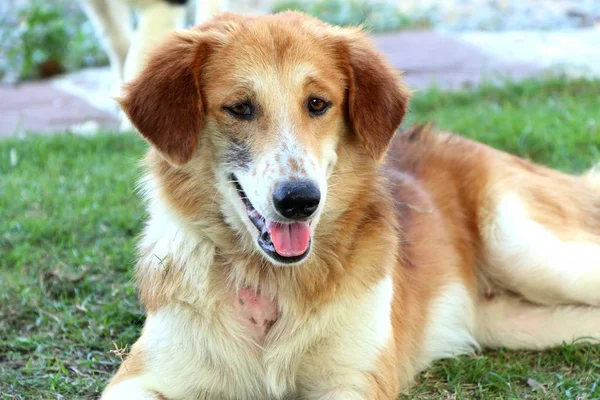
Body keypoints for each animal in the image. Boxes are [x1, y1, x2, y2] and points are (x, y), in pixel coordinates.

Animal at [98, 10, 600, 398]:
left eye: (318, 104)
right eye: (240, 107)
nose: (299, 201)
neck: (273, 285)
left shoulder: (354, 379)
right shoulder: (141, 376)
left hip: (531, 251)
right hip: (517, 319)